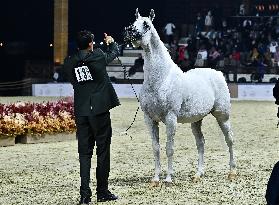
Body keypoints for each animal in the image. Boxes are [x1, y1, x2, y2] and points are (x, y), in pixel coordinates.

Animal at [124, 8, 236, 186]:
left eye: (146, 24)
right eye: (134, 22)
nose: (129, 32)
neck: (161, 79)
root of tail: (218, 73)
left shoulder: (171, 118)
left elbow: (169, 148)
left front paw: (169, 178)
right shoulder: (149, 119)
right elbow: (156, 147)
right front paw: (155, 179)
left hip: (222, 116)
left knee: (229, 139)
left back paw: (232, 172)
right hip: (196, 121)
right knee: (201, 143)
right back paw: (198, 174)